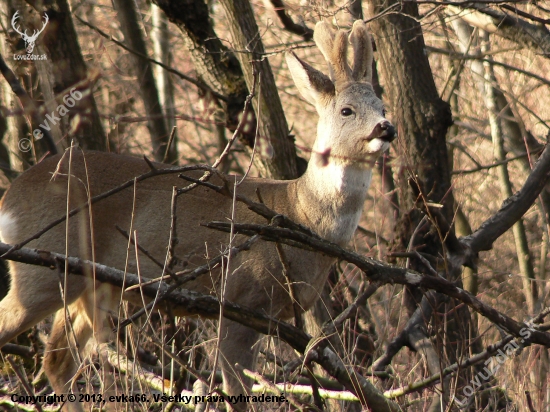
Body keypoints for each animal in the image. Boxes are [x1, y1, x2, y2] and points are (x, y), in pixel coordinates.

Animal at [0, 20, 396, 410]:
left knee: (57, 360)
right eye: (347, 110)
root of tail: (9, 197)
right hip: (42, 269)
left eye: (382, 106)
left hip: (92, 286)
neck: (299, 210)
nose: (386, 128)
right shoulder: (239, 298)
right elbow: (237, 391)